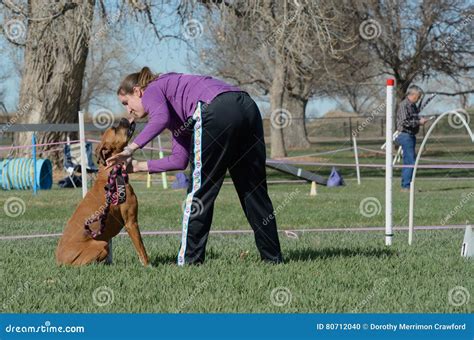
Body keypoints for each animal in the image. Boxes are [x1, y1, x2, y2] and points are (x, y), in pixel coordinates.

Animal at [55, 118, 149, 266]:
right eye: (115, 129)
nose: (124, 119)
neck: (111, 171)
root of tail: (59, 261)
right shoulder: (131, 222)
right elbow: (141, 248)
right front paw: (148, 265)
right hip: (101, 245)